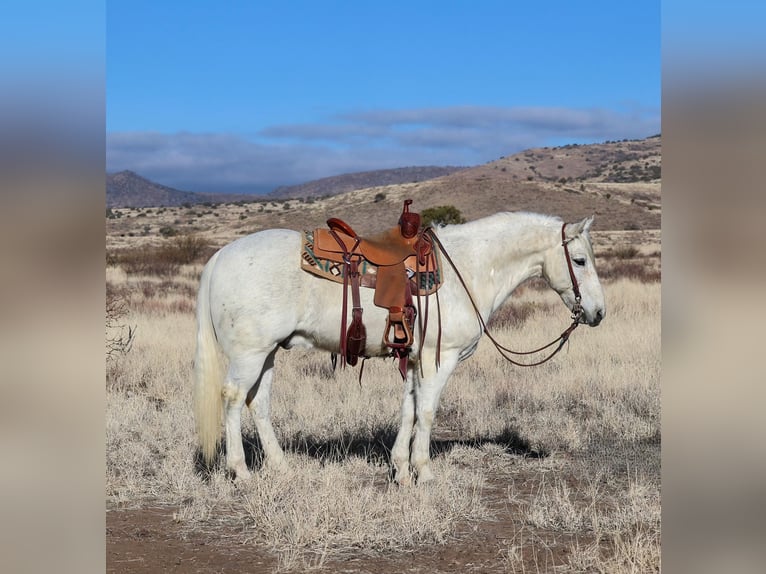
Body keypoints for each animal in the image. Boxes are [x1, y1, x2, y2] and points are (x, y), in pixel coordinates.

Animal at [195, 212, 608, 486]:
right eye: (579, 260)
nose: (598, 312)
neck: (467, 269)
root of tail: (219, 257)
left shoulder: (413, 360)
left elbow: (408, 410)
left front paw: (401, 470)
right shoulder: (439, 358)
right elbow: (426, 412)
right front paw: (424, 472)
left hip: (266, 354)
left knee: (258, 402)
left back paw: (281, 467)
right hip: (249, 354)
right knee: (233, 399)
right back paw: (240, 472)